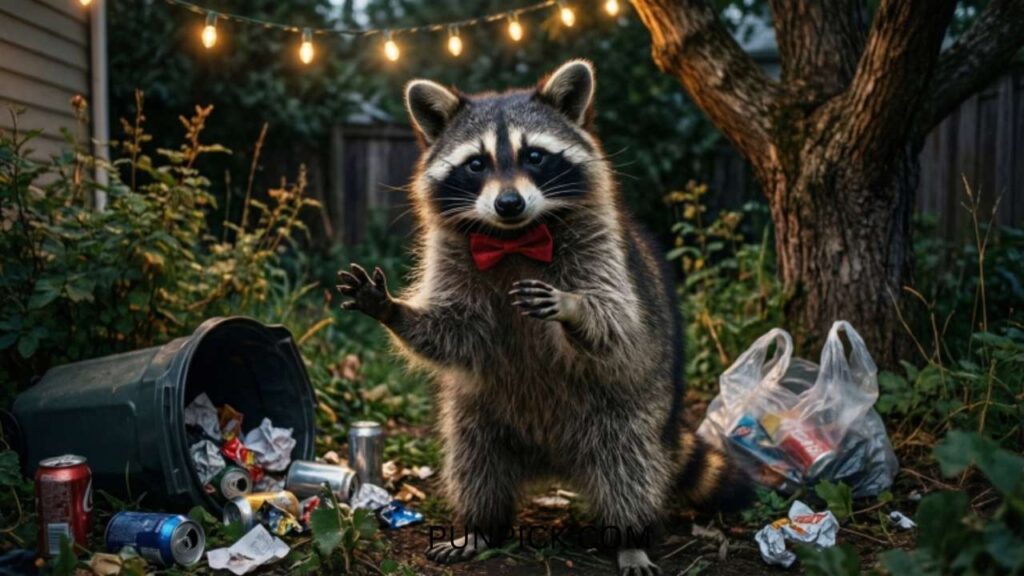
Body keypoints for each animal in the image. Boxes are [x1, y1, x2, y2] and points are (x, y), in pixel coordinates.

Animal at [337, 60, 751, 576]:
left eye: (534, 156)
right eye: (476, 164)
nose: (509, 203)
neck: (513, 238)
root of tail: (555, 464)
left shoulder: (604, 249)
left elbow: (618, 322)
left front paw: (574, 308)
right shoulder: (451, 257)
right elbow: (455, 331)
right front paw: (395, 309)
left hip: (628, 407)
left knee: (628, 465)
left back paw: (630, 536)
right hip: (480, 413)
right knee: (474, 460)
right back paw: (481, 526)